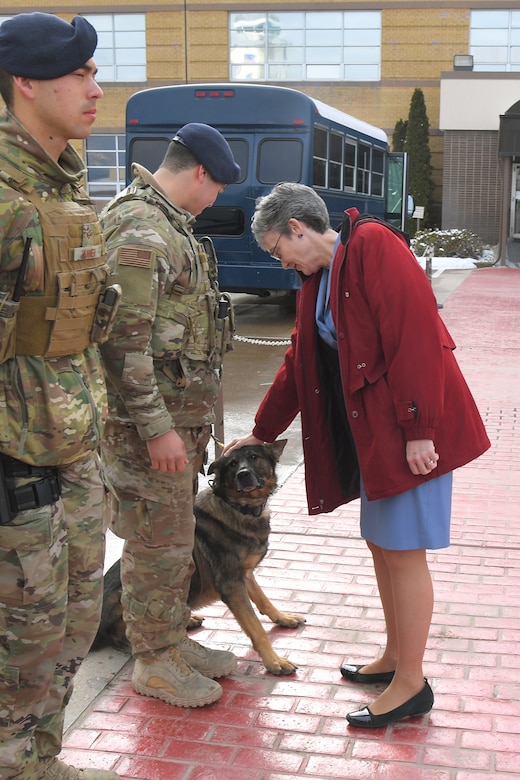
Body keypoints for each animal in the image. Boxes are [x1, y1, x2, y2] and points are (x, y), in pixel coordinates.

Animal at [93, 442, 304, 672]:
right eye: (232, 464)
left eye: (253, 457)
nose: (243, 474)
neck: (237, 506)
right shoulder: (232, 585)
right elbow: (256, 627)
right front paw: (274, 661)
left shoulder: (245, 576)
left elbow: (264, 600)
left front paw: (283, 618)